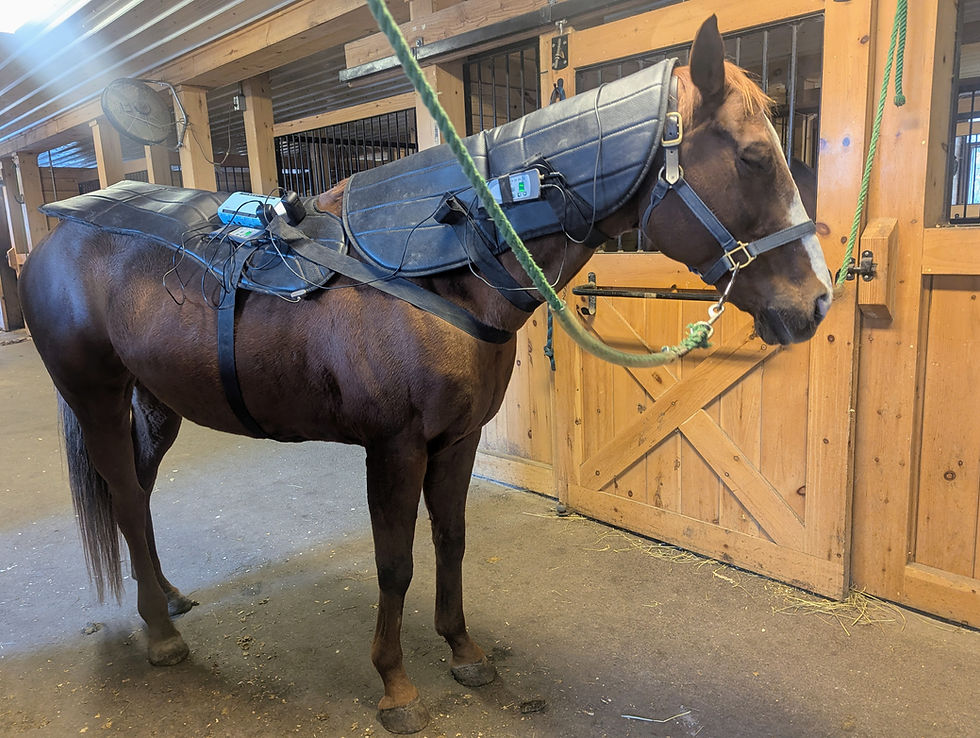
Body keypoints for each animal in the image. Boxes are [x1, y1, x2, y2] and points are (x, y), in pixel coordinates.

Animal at [18, 16, 833, 735]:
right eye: (755, 158)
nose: (817, 302)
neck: (448, 262)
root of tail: (58, 240)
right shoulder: (396, 448)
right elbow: (396, 563)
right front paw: (397, 687)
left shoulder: (457, 441)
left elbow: (452, 540)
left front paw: (464, 651)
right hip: (96, 399)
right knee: (126, 496)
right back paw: (159, 632)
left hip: (156, 404)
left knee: (138, 494)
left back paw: (165, 597)